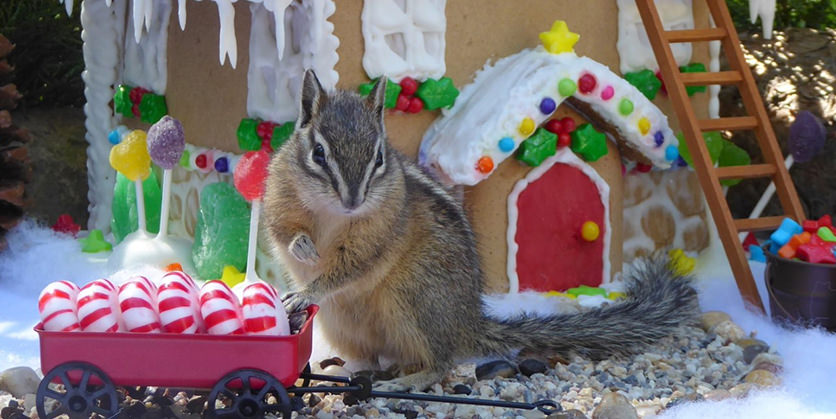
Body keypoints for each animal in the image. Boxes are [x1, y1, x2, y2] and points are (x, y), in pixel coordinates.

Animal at [263, 69, 700, 392]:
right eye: (319, 153)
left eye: (379, 157)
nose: (353, 200)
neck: (331, 213)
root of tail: (468, 323)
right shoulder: (279, 201)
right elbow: (283, 231)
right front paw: (303, 248)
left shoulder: (378, 233)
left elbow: (351, 266)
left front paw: (307, 290)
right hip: (342, 324)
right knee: (373, 356)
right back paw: (346, 370)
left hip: (414, 298)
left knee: (440, 362)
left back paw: (406, 382)